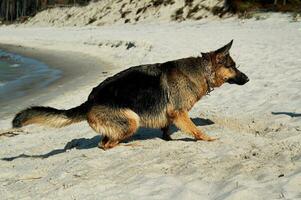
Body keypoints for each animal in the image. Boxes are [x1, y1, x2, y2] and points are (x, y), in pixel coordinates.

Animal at [12, 40, 248, 150]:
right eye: (233, 66)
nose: (247, 79)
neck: (201, 71)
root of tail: (89, 100)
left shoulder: (170, 115)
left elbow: (166, 128)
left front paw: (167, 138)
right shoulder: (180, 113)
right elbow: (196, 130)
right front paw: (208, 138)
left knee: (104, 142)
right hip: (132, 120)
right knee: (106, 145)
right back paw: (129, 145)